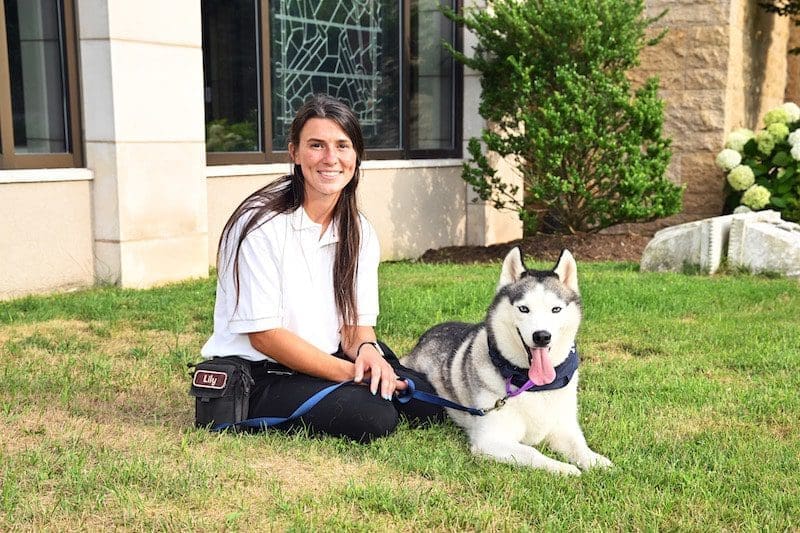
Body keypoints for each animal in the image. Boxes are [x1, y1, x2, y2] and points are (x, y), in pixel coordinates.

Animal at [406, 247, 612, 476]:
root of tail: (425, 335)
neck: (532, 385)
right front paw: (564, 469)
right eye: (524, 309)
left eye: (556, 309)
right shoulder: (489, 440)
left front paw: (596, 461)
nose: (542, 336)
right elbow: (532, 452)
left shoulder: (563, 427)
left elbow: (579, 446)